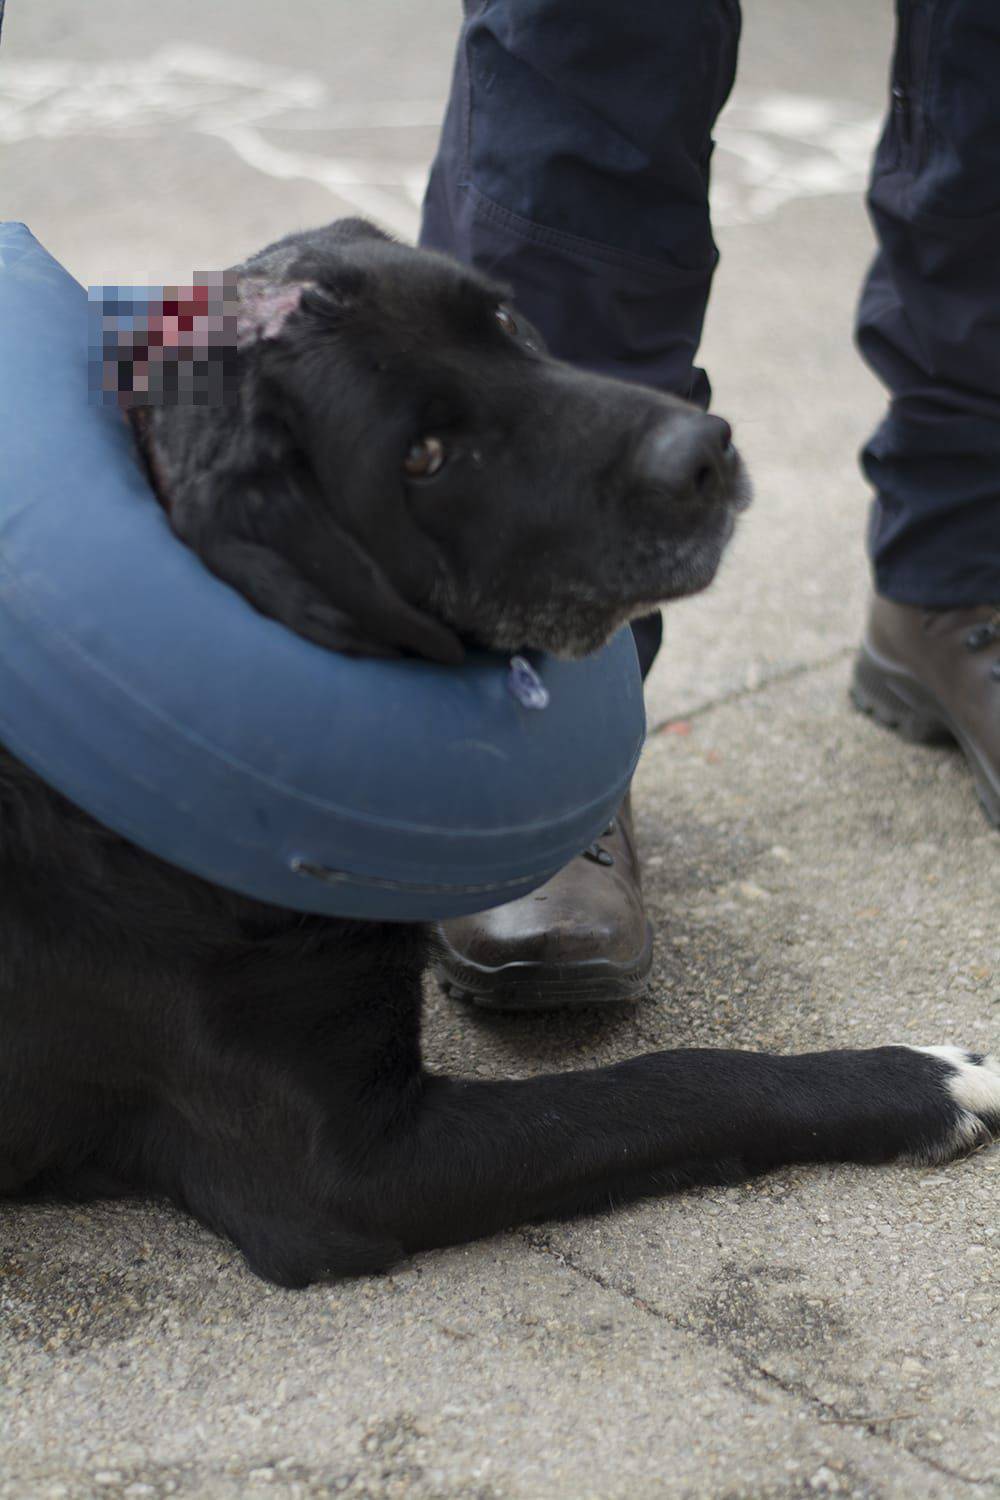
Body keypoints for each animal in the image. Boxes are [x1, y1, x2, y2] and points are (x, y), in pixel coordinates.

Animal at [0, 217, 995, 1284]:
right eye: (424, 456)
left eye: (508, 322)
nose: (706, 450)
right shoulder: (345, 1171)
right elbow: (679, 1082)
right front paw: (927, 1082)